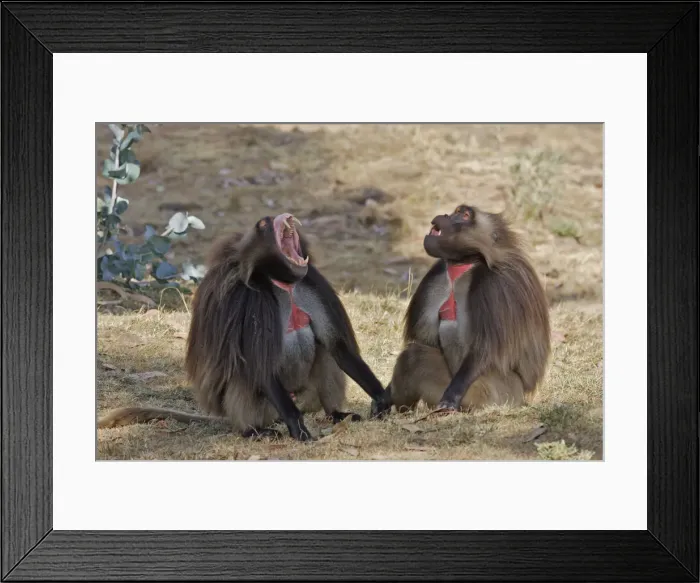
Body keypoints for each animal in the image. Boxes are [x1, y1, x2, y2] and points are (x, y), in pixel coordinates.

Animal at [98, 213, 392, 441]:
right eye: (263, 223)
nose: (282, 216)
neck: (282, 284)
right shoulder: (252, 300)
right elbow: (260, 365)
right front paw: (297, 428)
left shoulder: (311, 284)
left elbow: (338, 347)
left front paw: (382, 399)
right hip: (268, 409)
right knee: (244, 372)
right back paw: (254, 431)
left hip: (308, 398)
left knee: (326, 354)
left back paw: (336, 414)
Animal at [385, 204, 550, 414]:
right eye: (455, 211)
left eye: (464, 215)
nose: (445, 215)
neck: (467, 262)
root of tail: (522, 394)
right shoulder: (437, 276)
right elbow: (427, 341)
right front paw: (383, 395)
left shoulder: (494, 286)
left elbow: (483, 352)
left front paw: (451, 398)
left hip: (497, 392)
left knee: (415, 356)